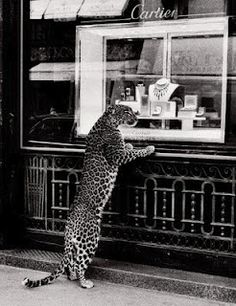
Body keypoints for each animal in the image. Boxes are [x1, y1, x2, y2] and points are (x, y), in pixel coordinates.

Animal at [22, 105, 155, 290]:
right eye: (127, 111)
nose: (137, 118)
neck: (107, 121)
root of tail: (70, 226)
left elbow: (127, 148)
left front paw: (128, 144)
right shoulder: (117, 156)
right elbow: (134, 153)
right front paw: (148, 148)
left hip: (76, 244)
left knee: (71, 262)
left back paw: (72, 276)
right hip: (90, 238)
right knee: (80, 264)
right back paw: (85, 282)